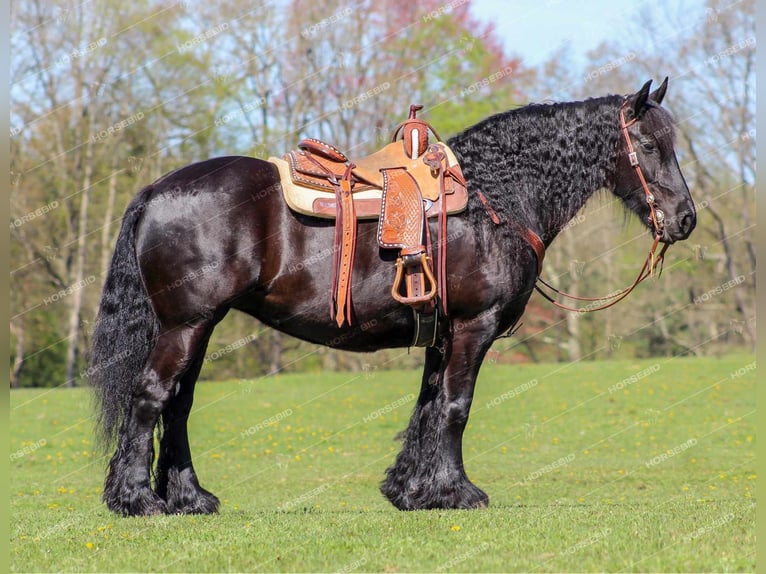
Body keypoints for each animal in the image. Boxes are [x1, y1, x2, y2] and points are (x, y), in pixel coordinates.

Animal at [88, 80, 696, 516]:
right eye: (648, 145)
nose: (685, 218)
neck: (496, 197)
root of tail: (156, 190)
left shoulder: (443, 332)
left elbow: (428, 406)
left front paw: (412, 491)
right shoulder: (475, 326)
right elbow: (455, 406)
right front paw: (457, 492)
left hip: (198, 326)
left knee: (178, 404)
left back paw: (189, 498)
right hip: (186, 325)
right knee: (151, 396)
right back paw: (138, 501)